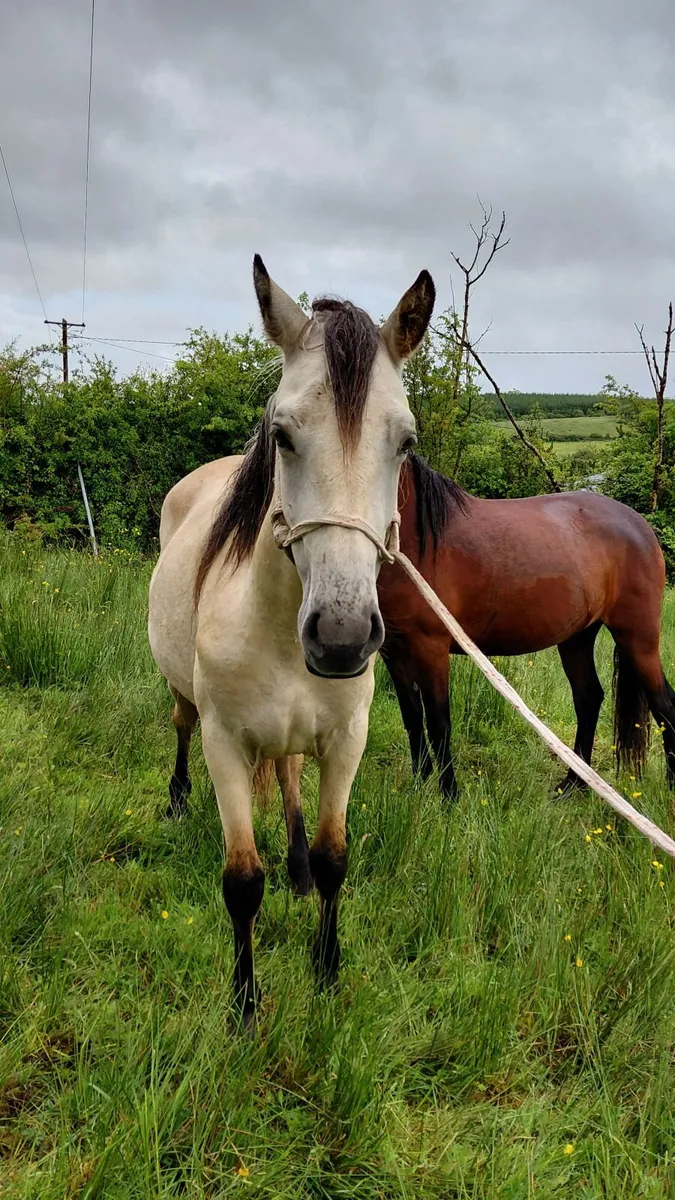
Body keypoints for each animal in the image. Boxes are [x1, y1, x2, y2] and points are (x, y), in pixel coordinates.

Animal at [148, 255, 435, 1027]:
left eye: (405, 441)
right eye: (281, 435)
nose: (340, 638)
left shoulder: (346, 740)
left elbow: (337, 858)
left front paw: (327, 969)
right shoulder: (224, 744)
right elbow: (242, 881)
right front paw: (244, 1007)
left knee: (287, 775)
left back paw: (298, 865)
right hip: (183, 699)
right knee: (181, 726)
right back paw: (177, 800)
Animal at [376, 454, 675, 800]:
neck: (417, 538)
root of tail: (639, 525)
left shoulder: (431, 648)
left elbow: (439, 721)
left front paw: (449, 796)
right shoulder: (394, 650)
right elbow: (412, 717)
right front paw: (418, 787)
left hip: (638, 637)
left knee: (664, 704)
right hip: (577, 638)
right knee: (589, 698)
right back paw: (572, 785)